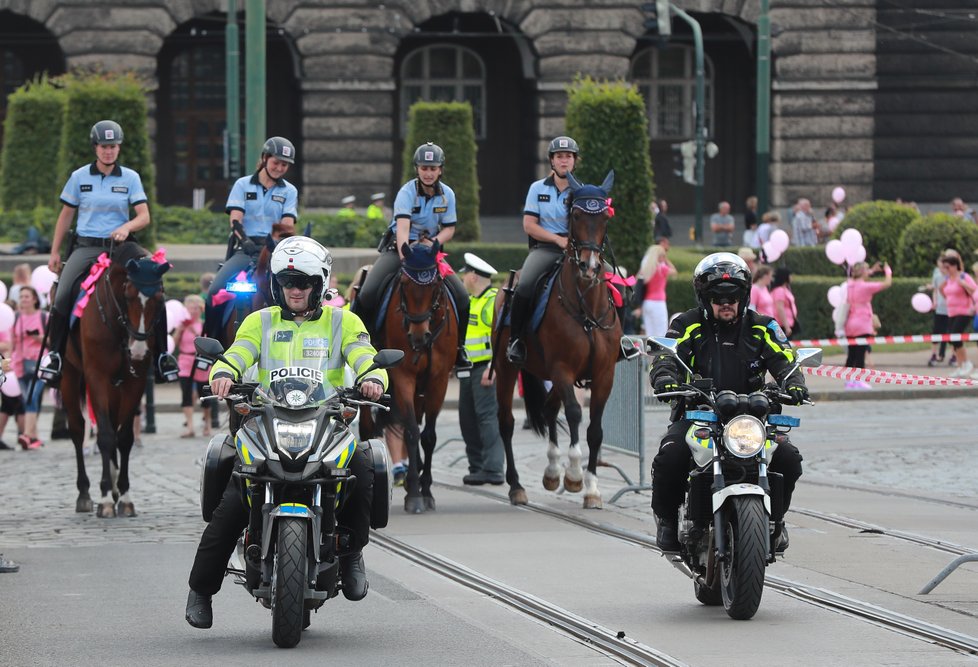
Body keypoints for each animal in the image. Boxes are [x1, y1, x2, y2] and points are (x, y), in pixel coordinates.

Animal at [61, 243, 172, 520]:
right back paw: (85, 493)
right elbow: (105, 436)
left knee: (110, 425)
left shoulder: (135, 382)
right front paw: (103, 498)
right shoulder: (97, 377)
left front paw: (124, 495)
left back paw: (112, 487)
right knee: (78, 430)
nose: (139, 350)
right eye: (129, 295)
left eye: (159, 298)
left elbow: (123, 438)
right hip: (70, 374)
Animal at [360, 243, 456, 516]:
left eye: (436, 284)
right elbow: (412, 431)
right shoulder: (403, 377)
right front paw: (414, 493)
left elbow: (429, 436)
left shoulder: (438, 380)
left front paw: (426, 490)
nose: (419, 336)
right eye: (403, 283)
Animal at [492, 170, 620, 508]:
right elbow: (575, 413)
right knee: (506, 422)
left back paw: (551, 472)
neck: (586, 308)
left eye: (605, 217)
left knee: (549, 410)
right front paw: (574, 475)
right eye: (575, 215)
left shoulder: (604, 375)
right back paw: (517, 486)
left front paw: (592, 489)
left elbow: (595, 429)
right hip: (507, 369)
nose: (590, 266)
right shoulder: (563, 368)